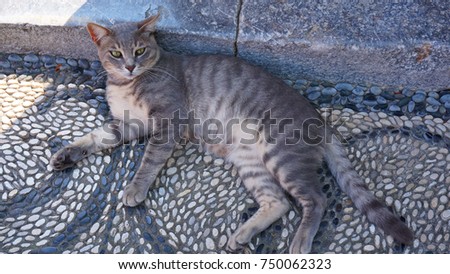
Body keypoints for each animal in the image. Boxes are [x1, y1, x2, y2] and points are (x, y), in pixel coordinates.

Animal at [51, 15, 414, 254]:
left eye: (140, 51)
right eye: (115, 53)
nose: (129, 65)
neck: (126, 85)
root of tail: (320, 120)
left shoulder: (167, 121)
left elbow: (148, 162)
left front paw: (134, 189)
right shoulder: (130, 124)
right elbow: (96, 136)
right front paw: (66, 153)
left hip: (281, 155)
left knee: (316, 199)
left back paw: (299, 242)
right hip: (250, 162)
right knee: (278, 202)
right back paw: (243, 233)